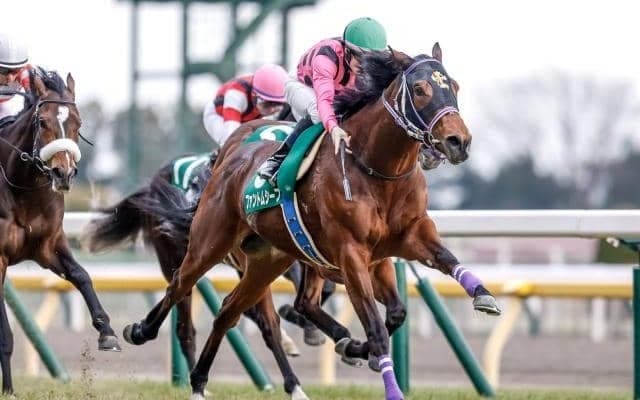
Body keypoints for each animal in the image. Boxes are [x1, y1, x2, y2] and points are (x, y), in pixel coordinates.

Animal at [0, 69, 120, 394]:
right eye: (43, 122)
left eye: (79, 122)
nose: (63, 173)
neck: (23, 191)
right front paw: (9, 390)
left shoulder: (48, 246)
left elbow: (81, 275)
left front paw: (107, 332)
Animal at [123, 44, 500, 400]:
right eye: (420, 89)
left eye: (454, 86)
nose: (458, 142)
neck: (377, 170)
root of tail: (228, 162)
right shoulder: (350, 254)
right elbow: (376, 328)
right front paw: (386, 381)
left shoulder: (406, 239)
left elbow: (426, 281)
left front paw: (483, 296)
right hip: (209, 242)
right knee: (180, 287)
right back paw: (140, 331)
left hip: (266, 261)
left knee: (229, 311)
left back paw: (201, 382)